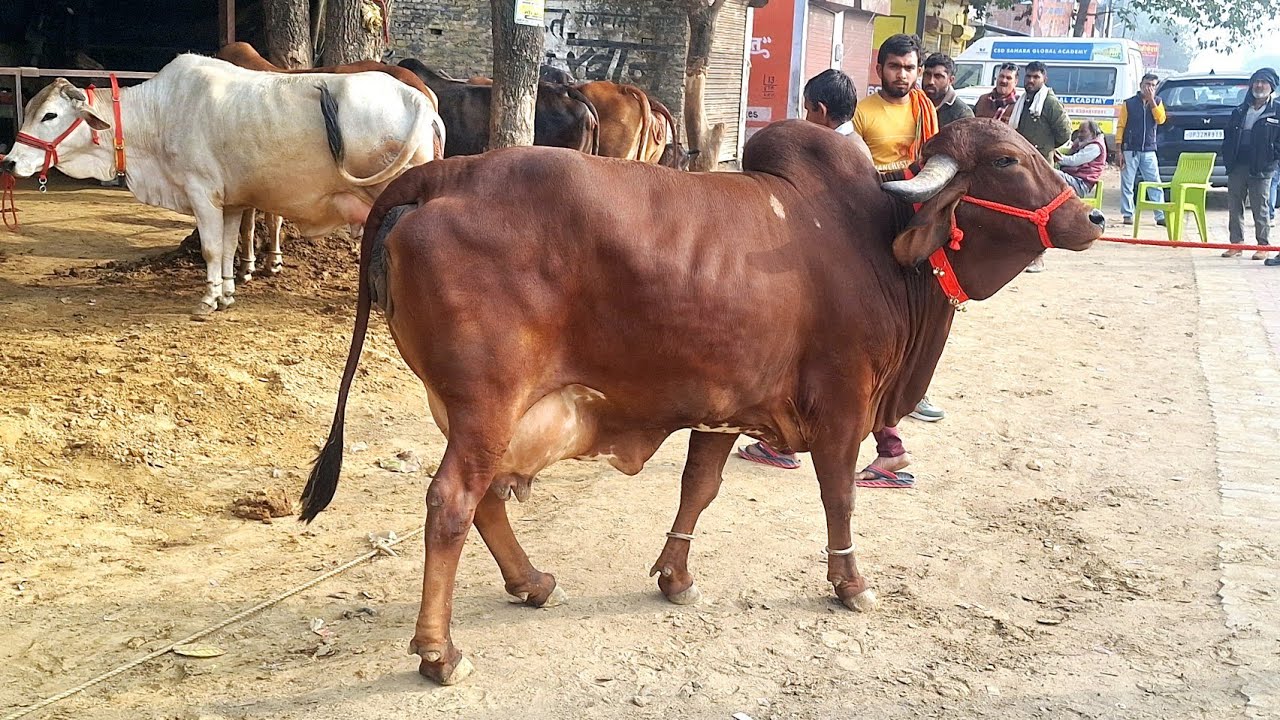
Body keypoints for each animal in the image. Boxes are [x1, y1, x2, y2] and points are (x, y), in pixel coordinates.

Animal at [297, 118, 1104, 685]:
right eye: (1006, 161)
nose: (1091, 219)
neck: (878, 242)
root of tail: (441, 174)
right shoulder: (844, 403)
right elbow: (840, 496)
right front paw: (850, 583)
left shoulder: (729, 404)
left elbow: (699, 487)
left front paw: (674, 576)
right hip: (487, 404)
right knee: (452, 503)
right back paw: (440, 652)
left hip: (480, 411)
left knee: (486, 498)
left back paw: (533, 583)